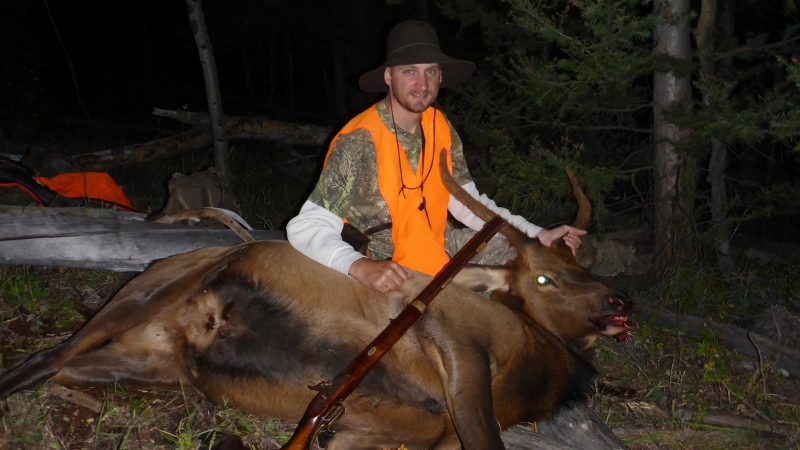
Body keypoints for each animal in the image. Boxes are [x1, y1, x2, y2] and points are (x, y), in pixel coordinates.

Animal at [0, 165, 632, 450]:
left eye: (587, 270)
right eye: (545, 276)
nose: (618, 299)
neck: (543, 372)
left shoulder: (393, 433)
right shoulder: (459, 344)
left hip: (152, 366)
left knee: (61, 368)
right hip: (147, 293)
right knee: (42, 357)